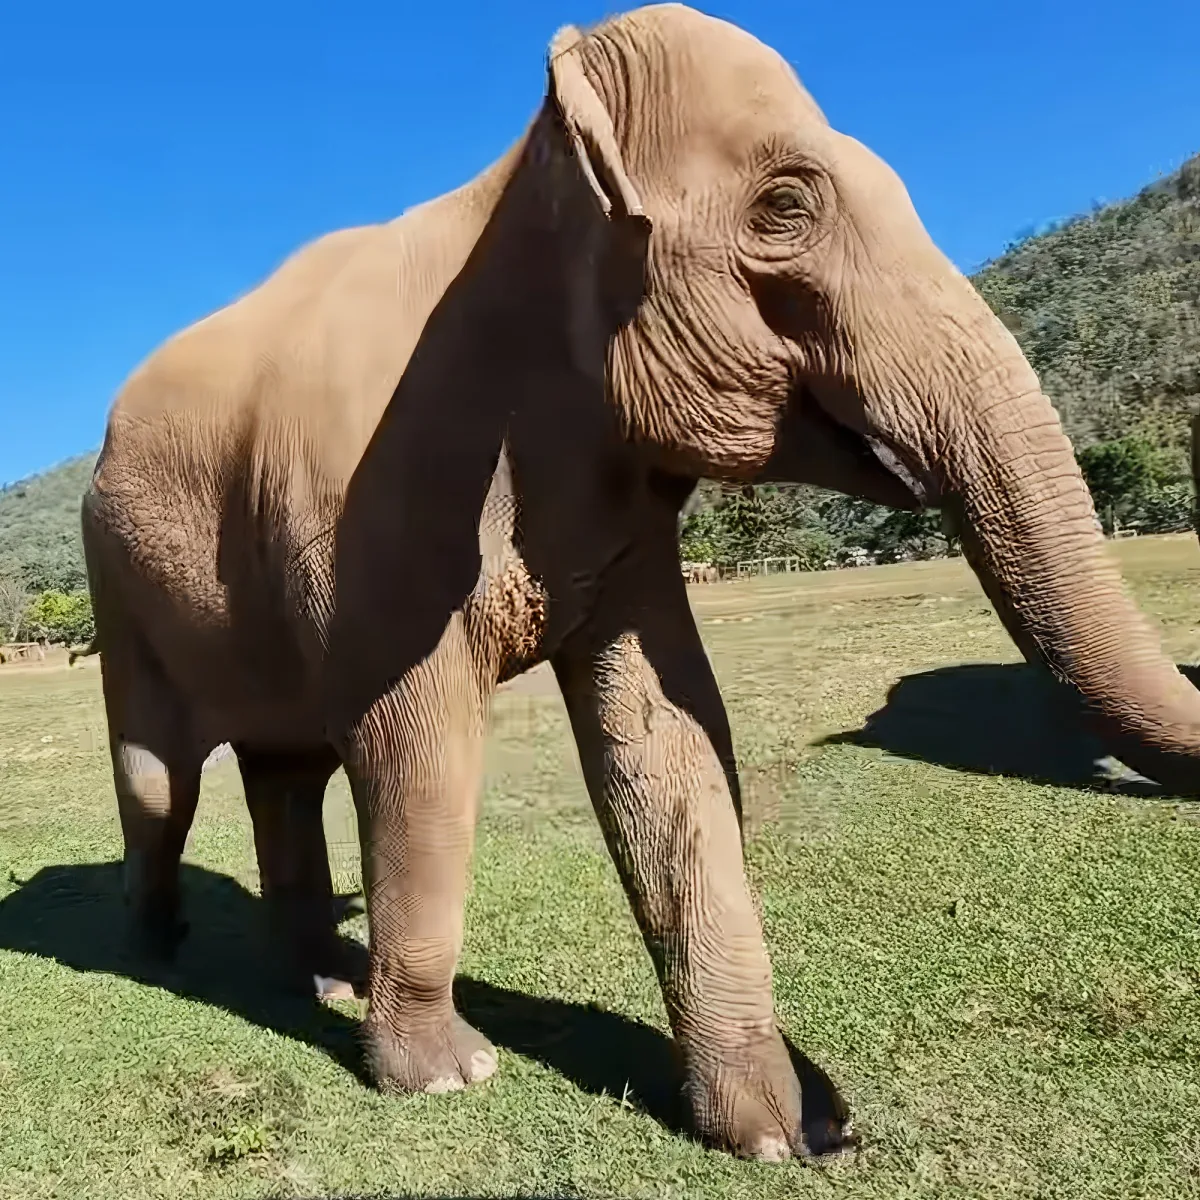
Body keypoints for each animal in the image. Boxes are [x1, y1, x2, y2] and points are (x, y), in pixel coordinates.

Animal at [81, 2, 1200, 1163]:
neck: (512, 187)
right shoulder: (367, 505)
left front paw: (777, 1130)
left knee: (286, 772)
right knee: (163, 780)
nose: (845, 1135)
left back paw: (323, 982)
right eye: (785, 206)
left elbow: (670, 735)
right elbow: (419, 747)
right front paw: (449, 1077)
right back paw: (156, 945)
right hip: (117, 587)